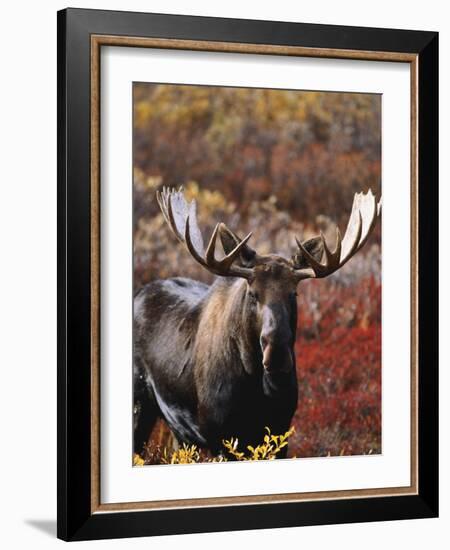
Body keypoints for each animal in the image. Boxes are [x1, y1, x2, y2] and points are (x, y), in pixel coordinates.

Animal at [133, 188, 380, 460]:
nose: (277, 354)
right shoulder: (219, 435)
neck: (256, 388)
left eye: (294, 293)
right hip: (140, 405)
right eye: (253, 293)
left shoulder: (281, 430)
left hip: (180, 433)